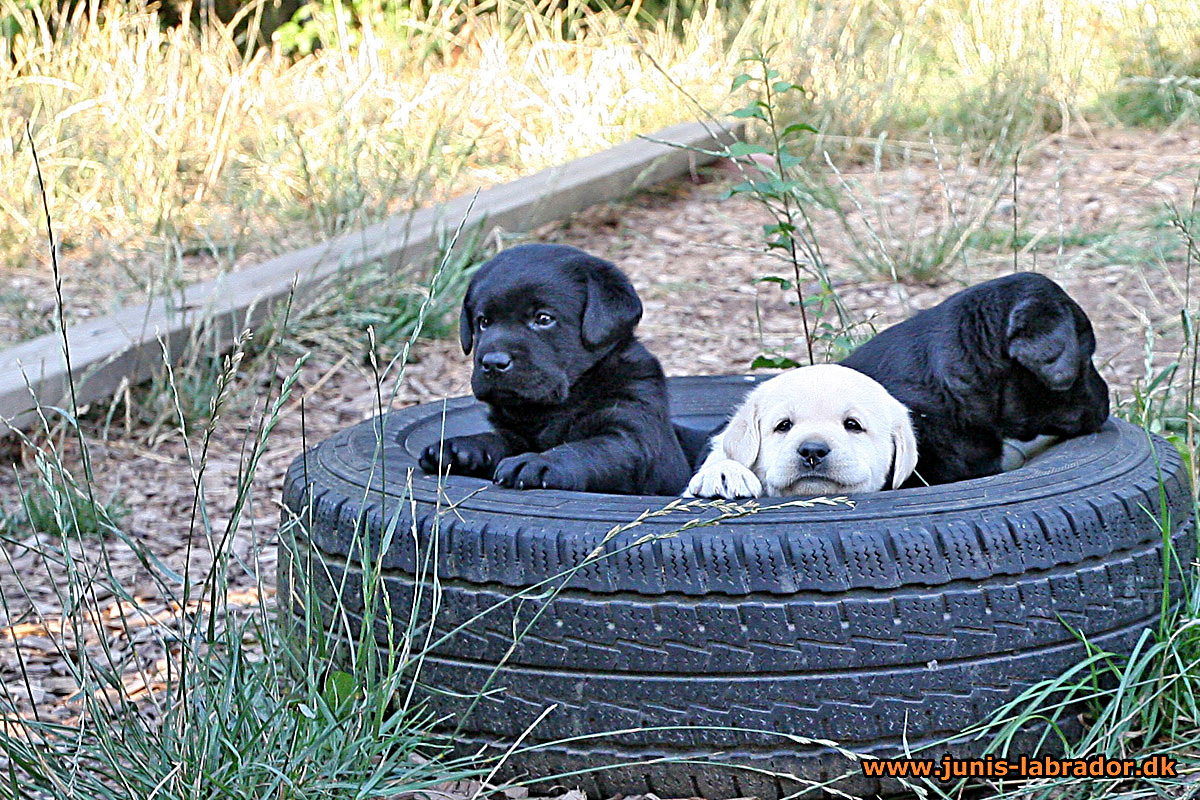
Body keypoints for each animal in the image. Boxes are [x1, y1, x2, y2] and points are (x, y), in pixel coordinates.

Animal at [417, 242, 691, 494]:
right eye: (483, 322)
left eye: (543, 319)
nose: (493, 362)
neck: (556, 406)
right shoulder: (516, 435)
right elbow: (497, 439)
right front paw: (459, 448)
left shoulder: (635, 430)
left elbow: (588, 448)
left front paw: (538, 462)